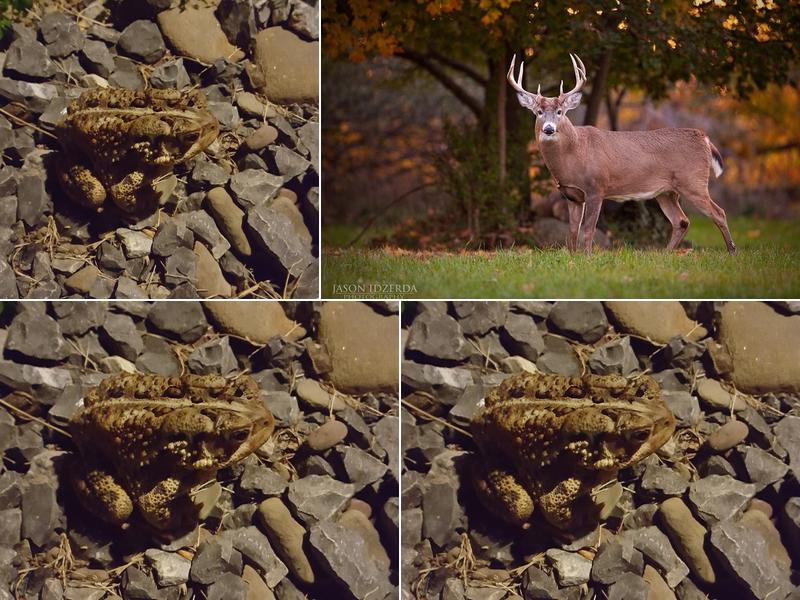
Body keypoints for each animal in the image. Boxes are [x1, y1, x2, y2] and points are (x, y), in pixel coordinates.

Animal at [508, 53, 736, 255]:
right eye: (538, 112)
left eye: (560, 112)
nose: (548, 129)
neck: (575, 153)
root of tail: (704, 138)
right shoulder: (571, 195)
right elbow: (572, 232)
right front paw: (572, 258)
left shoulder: (596, 187)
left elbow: (588, 230)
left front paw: (587, 258)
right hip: (667, 191)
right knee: (681, 221)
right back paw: (665, 255)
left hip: (693, 181)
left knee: (719, 213)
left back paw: (731, 252)